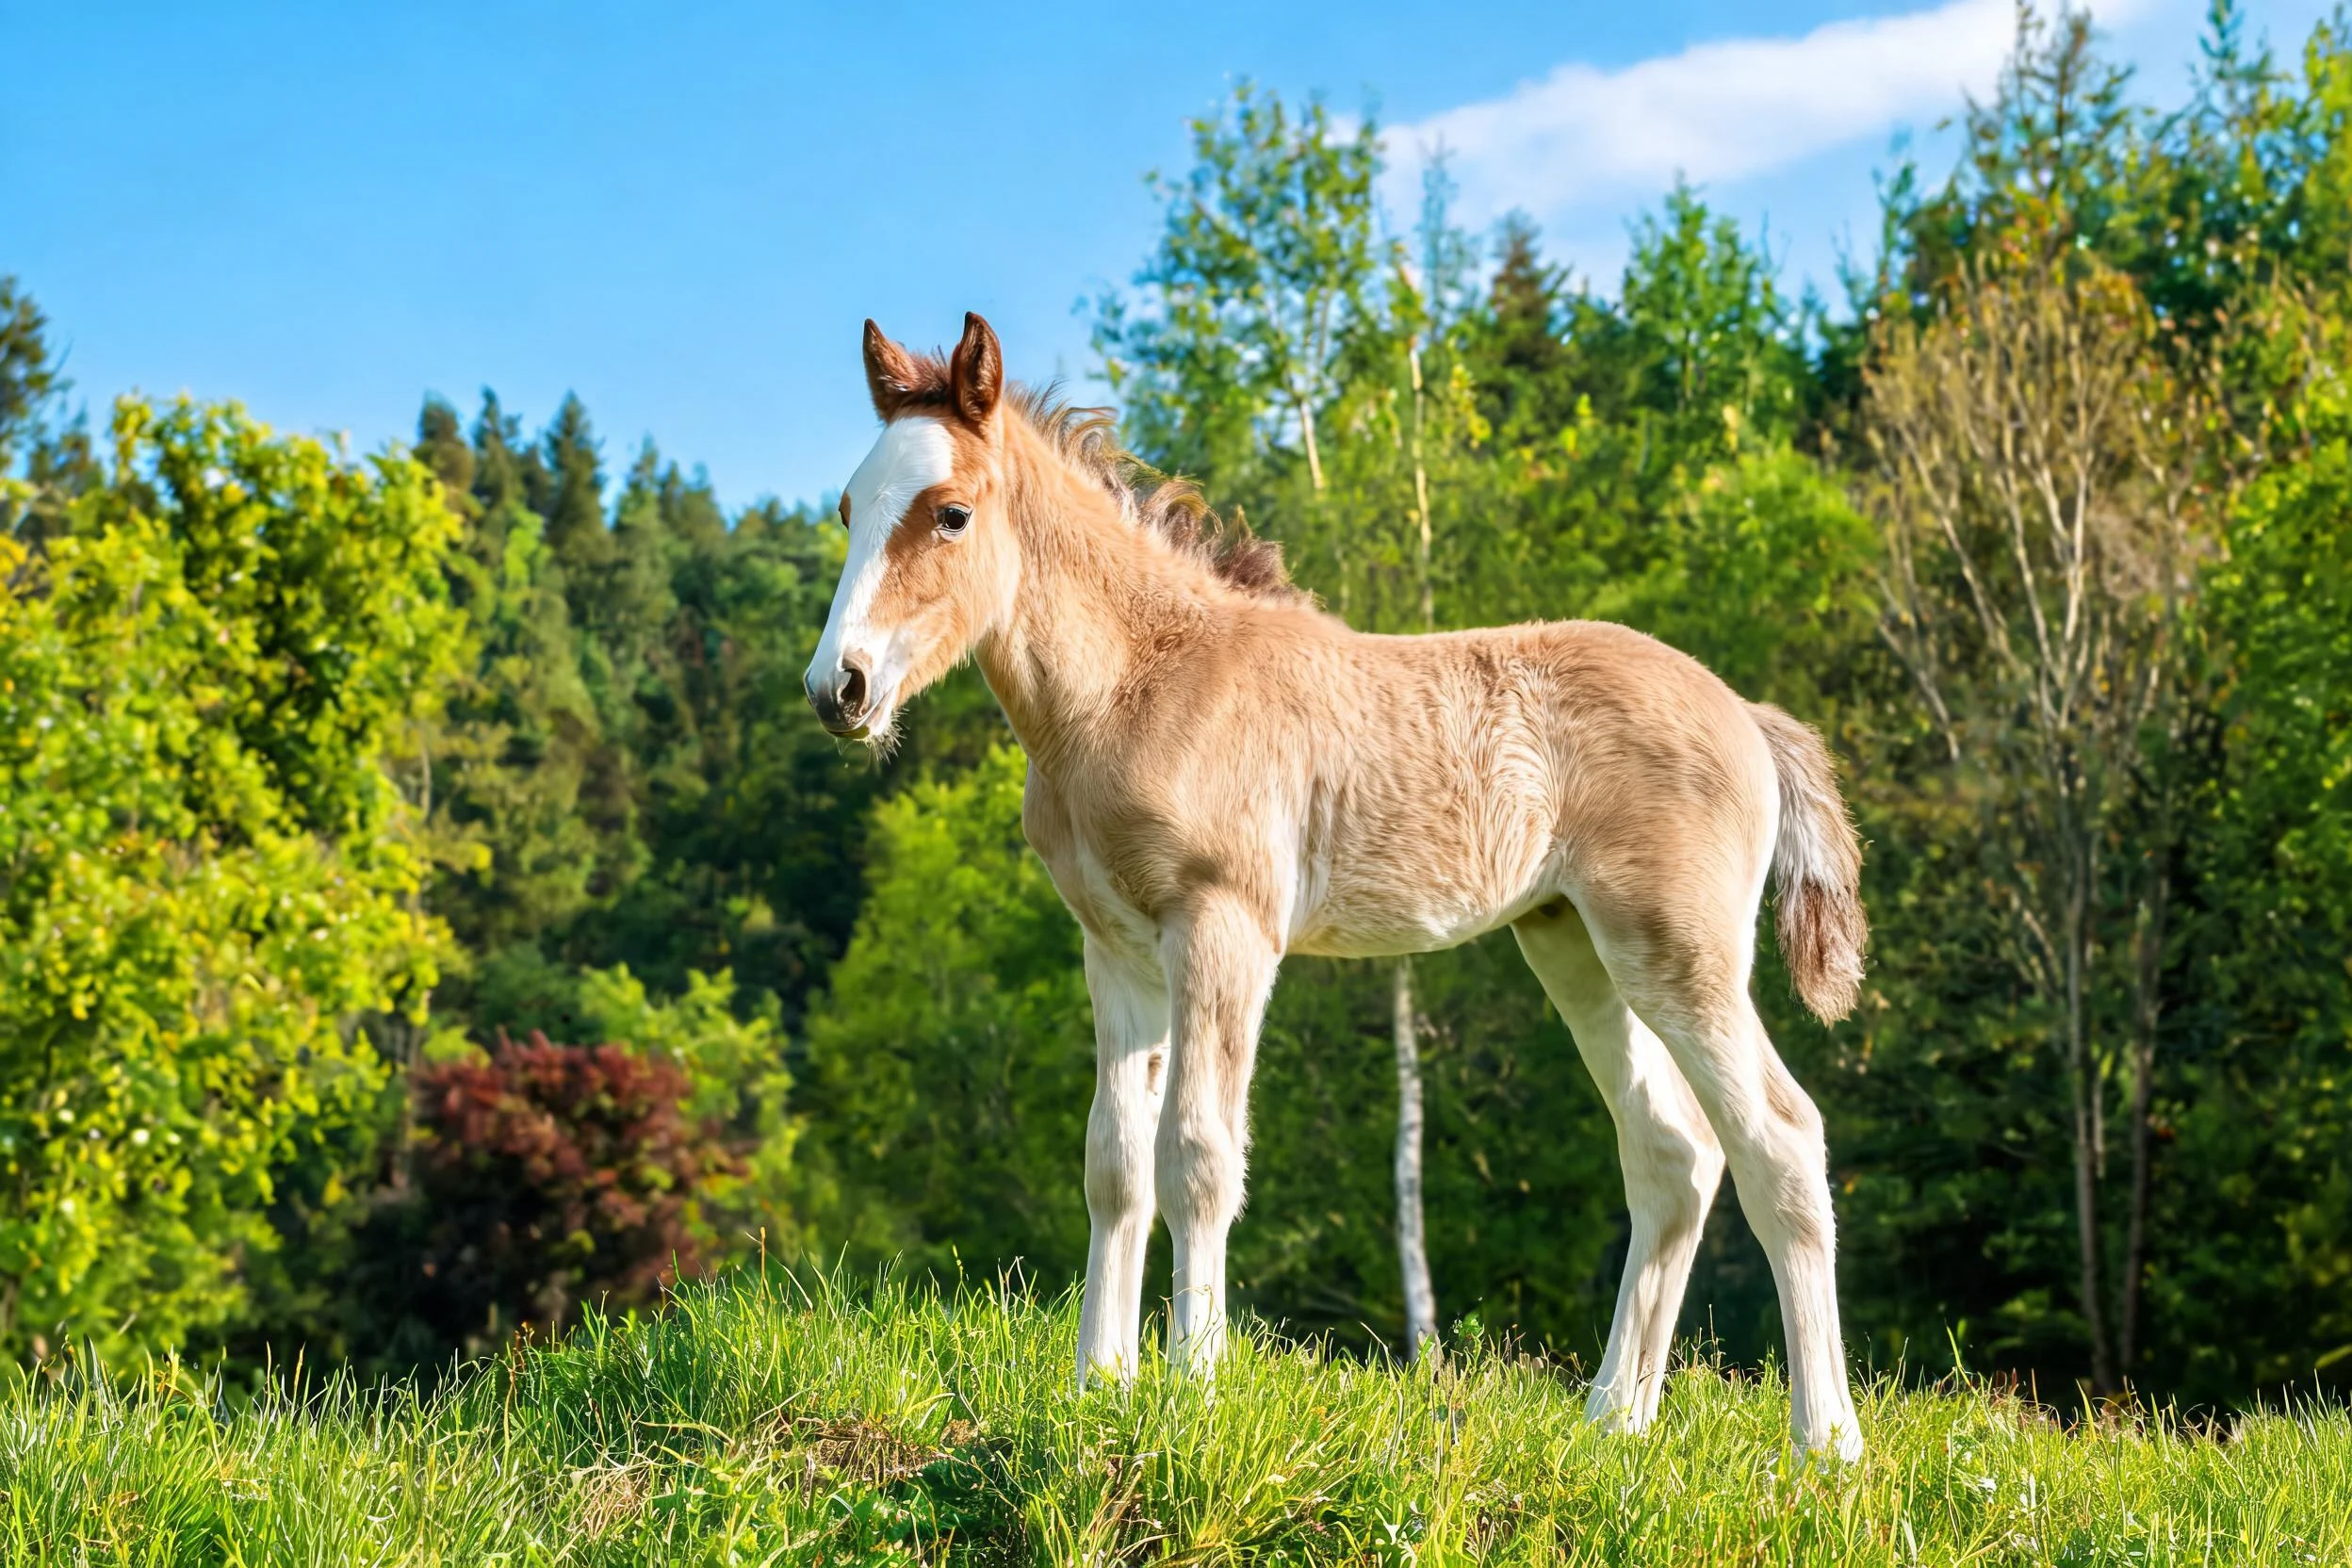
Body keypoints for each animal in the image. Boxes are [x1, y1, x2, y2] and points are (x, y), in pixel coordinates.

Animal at [804, 313, 1871, 1460]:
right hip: (1574, 944)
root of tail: (1749, 714)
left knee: (1781, 1137)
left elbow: (1197, 1153)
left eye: (951, 512)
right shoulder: (1115, 949)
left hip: (1680, 948)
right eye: (849, 507)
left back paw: (1826, 1440)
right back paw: (1611, 1423)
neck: (1136, 685)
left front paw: (1191, 1388)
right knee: (1673, 1151)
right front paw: (1098, 1387)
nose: (838, 688)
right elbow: (1113, 1161)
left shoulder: (1223, 927)